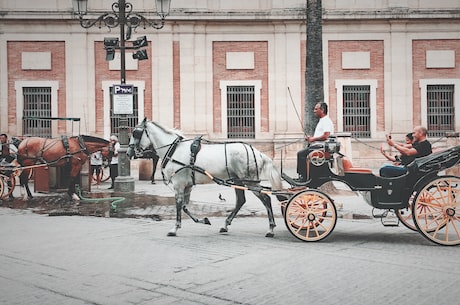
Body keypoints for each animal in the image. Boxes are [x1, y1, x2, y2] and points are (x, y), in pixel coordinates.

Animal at [126, 117, 284, 236]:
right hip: (238, 181)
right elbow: (185, 207)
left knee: (266, 199)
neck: (174, 149)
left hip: (250, 182)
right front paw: (203, 220)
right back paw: (226, 225)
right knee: (240, 201)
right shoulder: (188, 185)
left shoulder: (178, 185)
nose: (128, 152)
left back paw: (270, 228)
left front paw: (175, 228)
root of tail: (256, 152)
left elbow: (179, 205)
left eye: (136, 133)